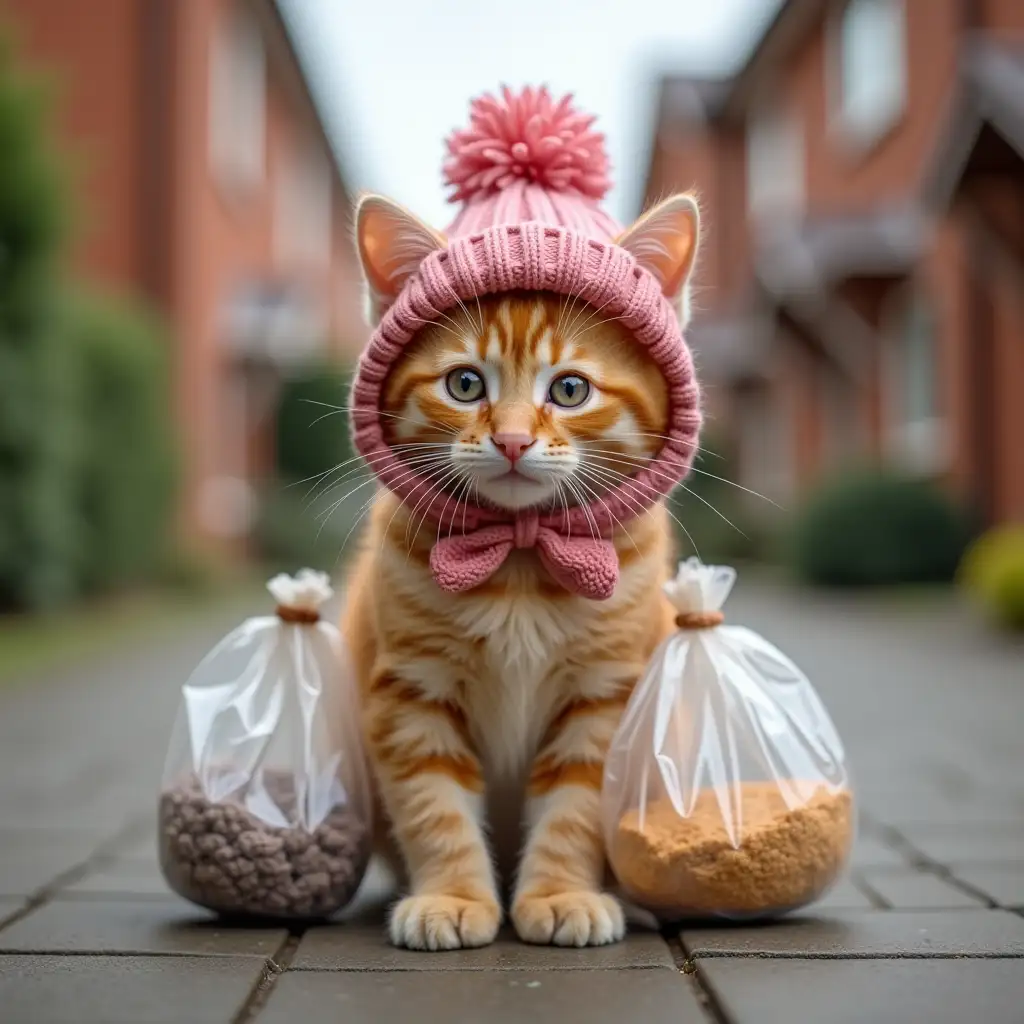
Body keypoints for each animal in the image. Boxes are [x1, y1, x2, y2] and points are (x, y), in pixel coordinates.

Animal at [339, 193, 700, 950]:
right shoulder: (411, 690)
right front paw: (451, 897)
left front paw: (562, 893)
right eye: (464, 383)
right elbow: (433, 803)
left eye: (570, 390)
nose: (509, 440)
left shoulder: (605, 694)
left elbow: (577, 807)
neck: (521, 562)